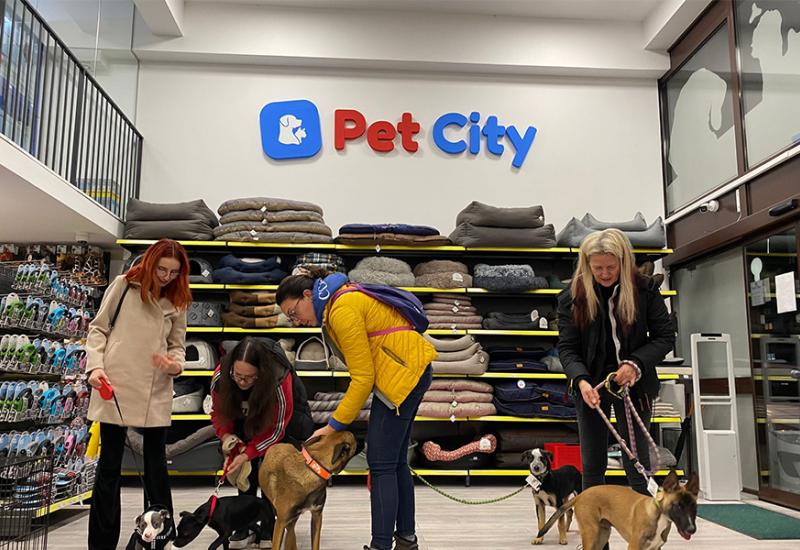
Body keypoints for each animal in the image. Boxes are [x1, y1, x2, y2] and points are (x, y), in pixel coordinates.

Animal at [536, 470, 699, 550]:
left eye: (694, 506)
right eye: (678, 506)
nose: (692, 529)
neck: (659, 516)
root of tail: (582, 494)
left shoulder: (655, 548)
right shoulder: (634, 547)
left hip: (602, 535)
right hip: (592, 534)